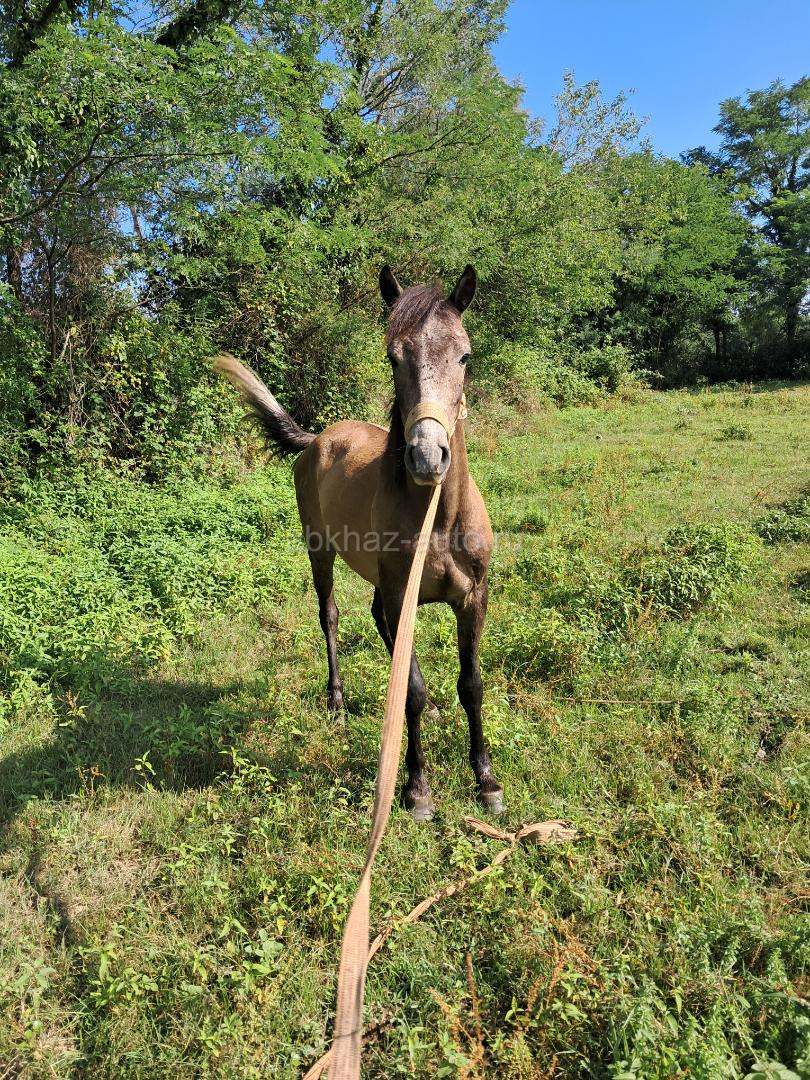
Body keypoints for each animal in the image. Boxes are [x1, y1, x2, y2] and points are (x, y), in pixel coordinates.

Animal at [215, 264, 503, 821]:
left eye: (464, 356)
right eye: (393, 357)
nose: (427, 456)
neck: (438, 520)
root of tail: (317, 439)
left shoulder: (472, 599)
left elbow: (471, 684)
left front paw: (485, 779)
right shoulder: (400, 592)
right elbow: (411, 690)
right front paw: (416, 788)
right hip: (320, 550)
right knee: (330, 616)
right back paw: (336, 700)